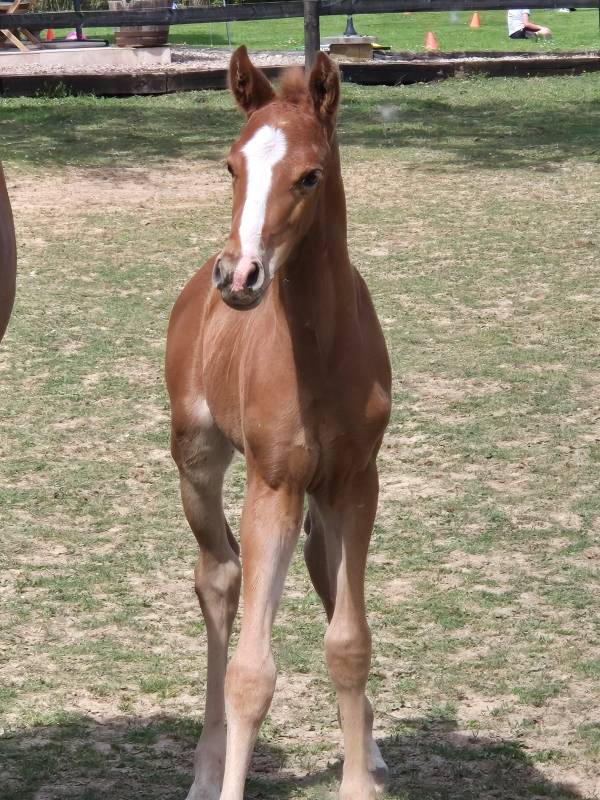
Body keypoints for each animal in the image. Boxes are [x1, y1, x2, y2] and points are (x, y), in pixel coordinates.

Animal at [165, 47, 392, 800]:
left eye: (309, 174)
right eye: (230, 166)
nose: (239, 277)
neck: (319, 351)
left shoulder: (356, 481)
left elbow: (349, 643)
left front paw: (359, 778)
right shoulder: (273, 485)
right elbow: (250, 673)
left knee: (320, 566)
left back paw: (370, 746)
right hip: (198, 460)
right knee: (218, 577)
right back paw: (206, 769)